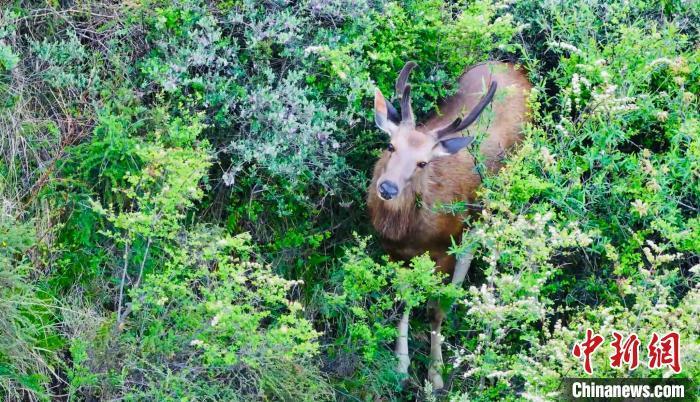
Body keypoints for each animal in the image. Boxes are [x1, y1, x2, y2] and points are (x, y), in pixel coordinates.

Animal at [366, 61, 532, 392]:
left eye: (423, 163)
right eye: (390, 146)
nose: (387, 188)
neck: (408, 233)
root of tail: (513, 66)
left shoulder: (445, 249)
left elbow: (435, 308)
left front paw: (435, 374)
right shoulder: (391, 250)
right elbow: (404, 299)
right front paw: (401, 366)